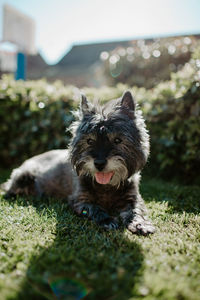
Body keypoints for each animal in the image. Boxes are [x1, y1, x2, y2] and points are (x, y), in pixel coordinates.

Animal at [0, 90, 155, 236]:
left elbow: (136, 210)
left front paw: (141, 224)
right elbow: (95, 208)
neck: (106, 186)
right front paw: (107, 220)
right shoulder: (80, 200)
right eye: (89, 141)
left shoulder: (132, 198)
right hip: (23, 176)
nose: (99, 163)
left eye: (117, 140)